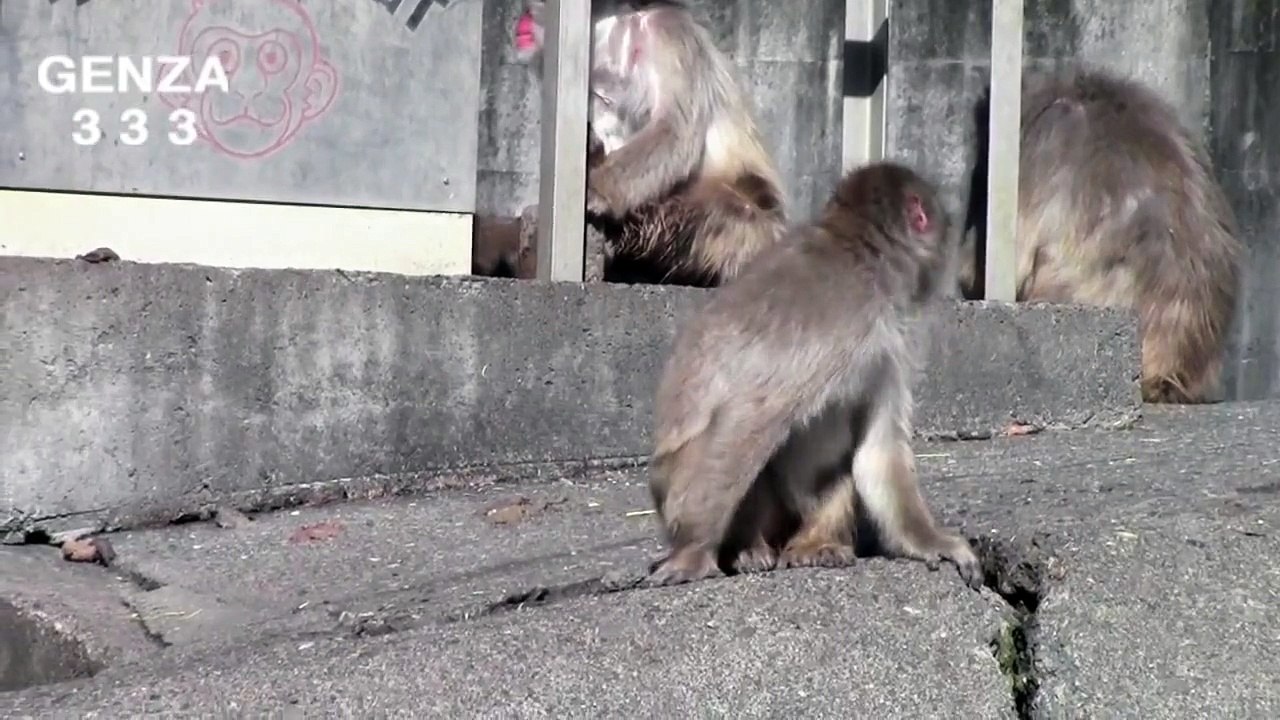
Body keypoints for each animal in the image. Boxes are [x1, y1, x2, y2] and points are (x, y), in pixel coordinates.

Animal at [645, 160, 983, 590]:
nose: (948, 230)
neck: (861, 254)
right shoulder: (848, 317)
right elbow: (748, 417)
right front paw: (692, 551)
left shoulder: (883, 351)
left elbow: (877, 447)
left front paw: (930, 541)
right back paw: (746, 547)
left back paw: (815, 541)